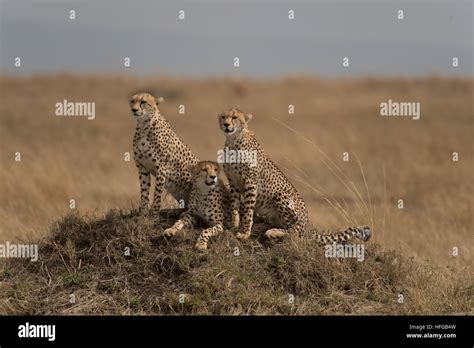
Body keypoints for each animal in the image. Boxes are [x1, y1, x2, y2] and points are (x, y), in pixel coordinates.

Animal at [129, 92, 199, 220]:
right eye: (132, 101)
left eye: (143, 102)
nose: (134, 109)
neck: (144, 125)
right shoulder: (142, 168)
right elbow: (144, 193)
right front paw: (142, 215)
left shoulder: (161, 169)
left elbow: (157, 194)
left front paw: (153, 216)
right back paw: (173, 212)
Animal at [218, 108, 370, 245]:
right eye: (223, 116)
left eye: (234, 117)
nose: (226, 124)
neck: (233, 140)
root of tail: (308, 223)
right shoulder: (233, 181)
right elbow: (234, 205)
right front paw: (234, 225)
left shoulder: (250, 182)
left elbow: (248, 210)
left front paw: (244, 233)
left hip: (281, 195)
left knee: (296, 232)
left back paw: (273, 232)